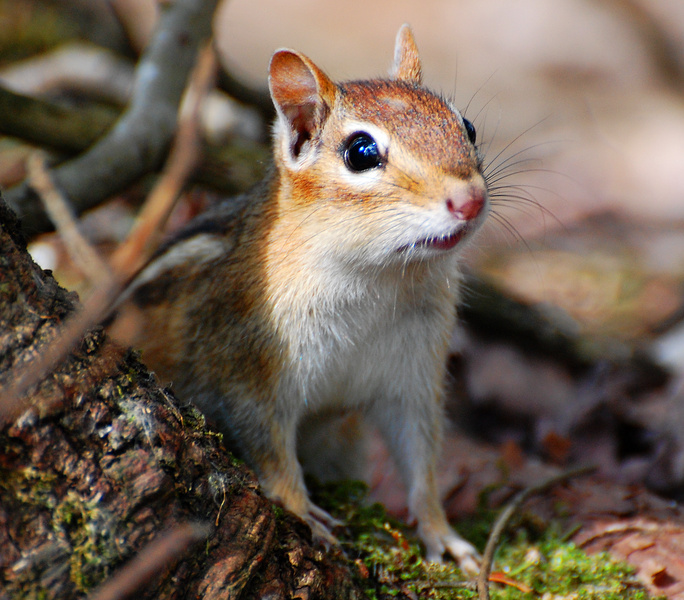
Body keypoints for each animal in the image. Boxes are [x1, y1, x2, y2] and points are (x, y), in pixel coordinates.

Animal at [119, 25, 488, 572]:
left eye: (468, 126)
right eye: (361, 152)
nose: (471, 200)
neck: (379, 279)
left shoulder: (413, 377)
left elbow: (420, 456)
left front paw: (443, 533)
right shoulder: (250, 366)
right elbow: (268, 446)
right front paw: (301, 509)